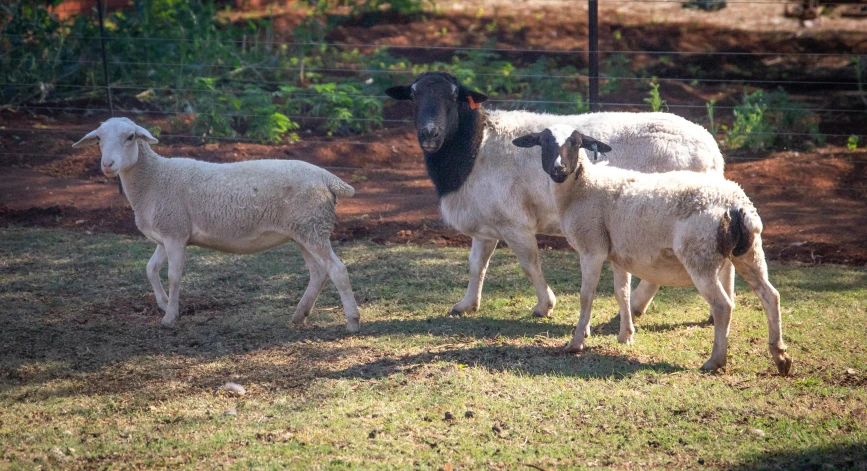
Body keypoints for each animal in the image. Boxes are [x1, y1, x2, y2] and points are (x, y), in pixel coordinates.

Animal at [70, 117, 362, 332]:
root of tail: (327, 178)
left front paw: (170, 317)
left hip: (312, 228)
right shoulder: (167, 233)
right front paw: (164, 304)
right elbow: (150, 269)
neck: (153, 179)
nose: (108, 164)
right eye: (98, 139)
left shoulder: (175, 233)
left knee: (337, 270)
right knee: (318, 272)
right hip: (305, 230)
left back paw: (352, 322)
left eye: (131, 137)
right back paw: (299, 315)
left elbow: (173, 275)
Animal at [386, 71, 724, 320]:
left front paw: (544, 305)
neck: (476, 144)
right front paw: (466, 304)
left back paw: (636, 305)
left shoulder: (514, 221)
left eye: (454, 97)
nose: (429, 133)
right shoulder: (487, 219)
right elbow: (476, 264)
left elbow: (529, 262)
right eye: (413, 96)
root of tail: (711, 149)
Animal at [516, 126, 792, 376]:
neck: (582, 186)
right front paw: (625, 335)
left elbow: (586, 295)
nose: (559, 169)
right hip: (749, 253)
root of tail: (736, 206)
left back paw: (715, 361)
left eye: (575, 143)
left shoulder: (591, 248)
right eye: (544, 142)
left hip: (700, 256)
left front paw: (577, 342)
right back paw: (780, 356)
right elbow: (621, 292)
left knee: (723, 306)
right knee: (771, 295)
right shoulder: (617, 252)